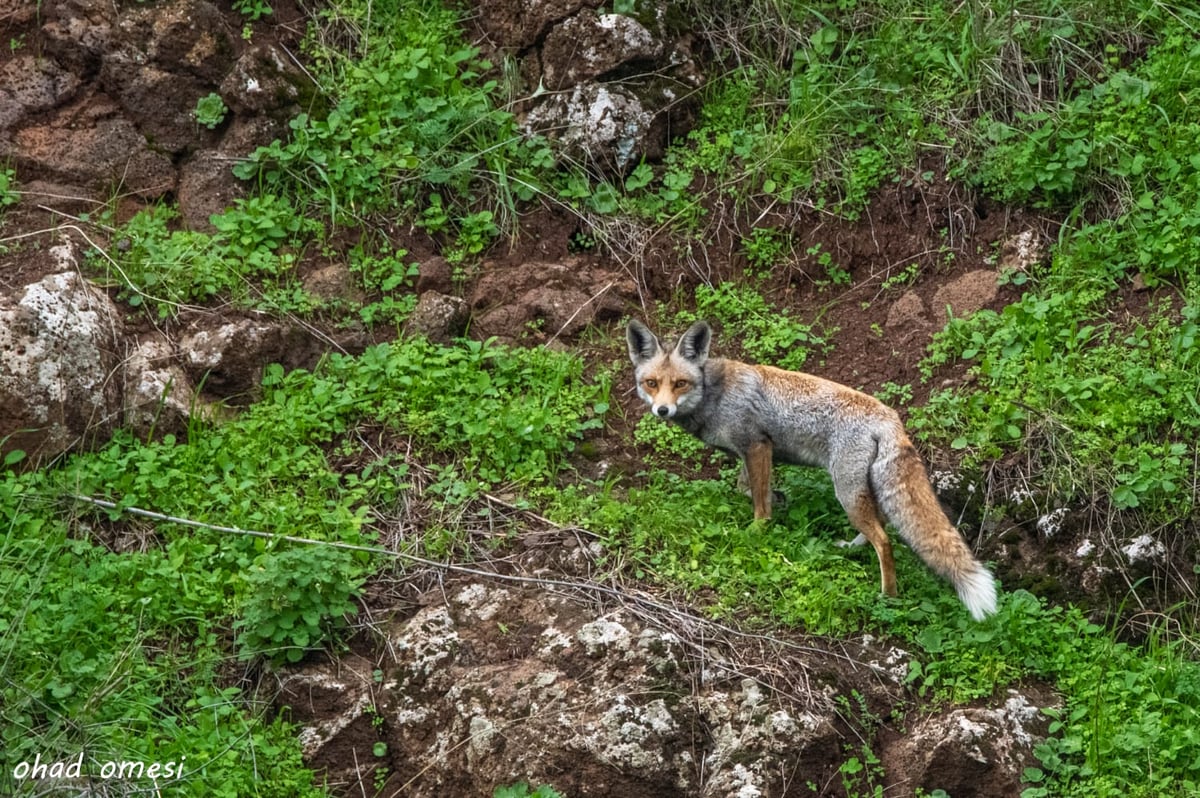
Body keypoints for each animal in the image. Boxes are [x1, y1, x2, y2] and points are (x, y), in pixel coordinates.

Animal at [624, 314, 998, 619]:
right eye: (652, 383)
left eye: (680, 384)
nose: (662, 410)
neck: (714, 395)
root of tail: (890, 417)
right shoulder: (752, 452)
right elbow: (748, 488)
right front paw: (779, 499)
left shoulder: (757, 446)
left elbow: (758, 506)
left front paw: (757, 532)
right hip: (860, 491)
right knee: (880, 527)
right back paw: (851, 549)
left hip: (845, 491)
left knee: (884, 541)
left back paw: (887, 596)